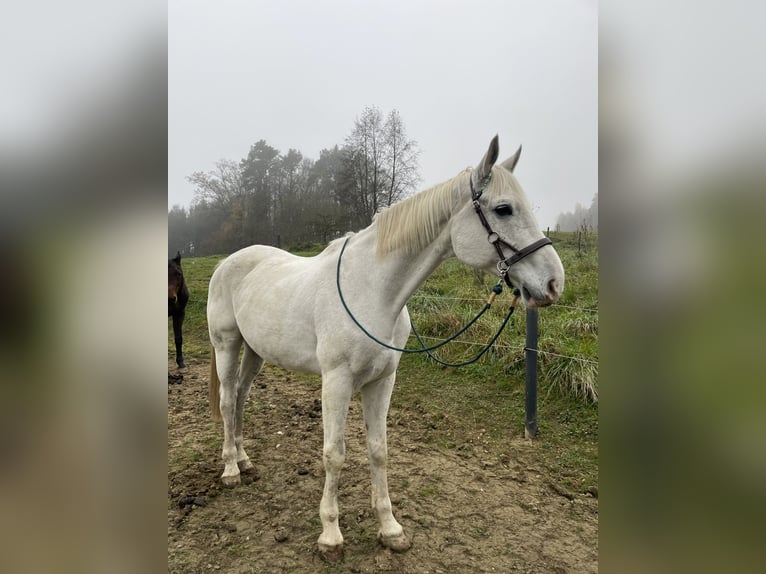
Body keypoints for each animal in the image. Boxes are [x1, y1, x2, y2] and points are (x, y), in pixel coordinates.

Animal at [207, 136, 568, 564]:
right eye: (503, 209)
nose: (553, 283)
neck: (374, 292)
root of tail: (228, 262)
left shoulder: (382, 380)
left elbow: (378, 450)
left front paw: (390, 529)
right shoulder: (336, 382)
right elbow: (334, 453)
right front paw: (331, 536)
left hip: (255, 352)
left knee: (241, 399)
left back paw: (244, 460)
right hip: (227, 345)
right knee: (227, 400)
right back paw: (230, 470)